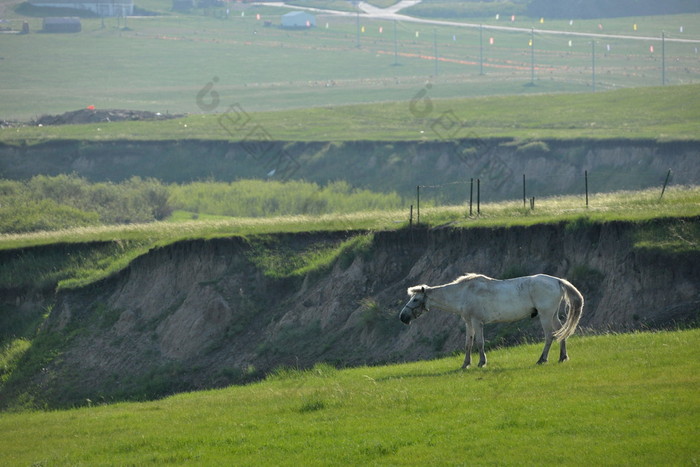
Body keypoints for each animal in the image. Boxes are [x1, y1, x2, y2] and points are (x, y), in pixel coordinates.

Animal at [400, 274, 584, 370]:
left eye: (415, 299)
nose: (403, 317)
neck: (464, 293)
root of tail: (557, 280)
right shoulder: (468, 322)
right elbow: (468, 344)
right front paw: (465, 364)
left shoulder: (477, 322)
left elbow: (480, 343)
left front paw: (482, 362)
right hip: (552, 315)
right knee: (561, 333)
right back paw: (562, 357)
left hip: (545, 316)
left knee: (549, 336)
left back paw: (542, 359)